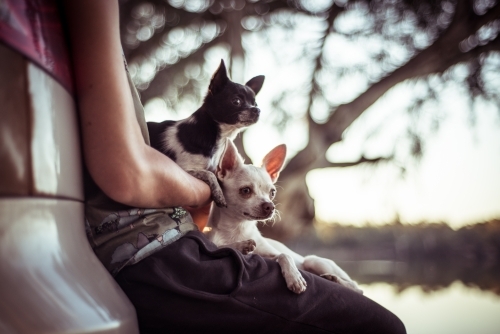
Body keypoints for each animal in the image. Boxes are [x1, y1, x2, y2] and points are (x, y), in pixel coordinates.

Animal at [147, 60, 266, 206]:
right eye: (236, 101)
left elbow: (214, 173)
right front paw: (219, 194)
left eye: (255, 103)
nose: (257, 110)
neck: (218, 139)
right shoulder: (183, 170)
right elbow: (210, 174)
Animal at [205, 140, 362, 294]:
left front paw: (295, 278)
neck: (239, 228)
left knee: (357, 288)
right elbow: (221, 247)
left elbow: (285, 255)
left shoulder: (273, 254)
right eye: (245, 191)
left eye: (272, 192)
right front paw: (240, 246)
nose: (270, 206)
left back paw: (335, 279)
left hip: (313, 260)